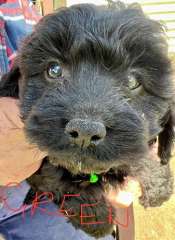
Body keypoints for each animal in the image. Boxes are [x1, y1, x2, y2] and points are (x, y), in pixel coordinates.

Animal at [0, 1, 175, 238]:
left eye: (132, 81)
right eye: (54, 70)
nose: (85, 131)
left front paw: (157, 182)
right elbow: (54, 177)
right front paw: (96, 218)